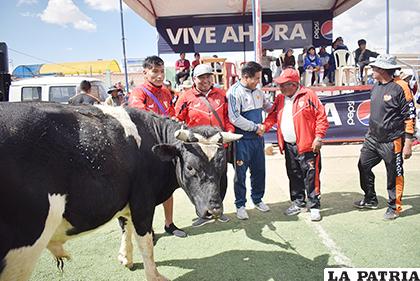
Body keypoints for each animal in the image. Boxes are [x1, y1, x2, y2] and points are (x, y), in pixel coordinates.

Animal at [0, 102, 241, 280]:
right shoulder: (143, 201)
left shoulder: (126, 199)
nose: (214, 210)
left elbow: (126, 227)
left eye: (221, 165)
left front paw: (126, 258)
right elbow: (145, 240)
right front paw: (154, 275)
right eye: (190, 167)